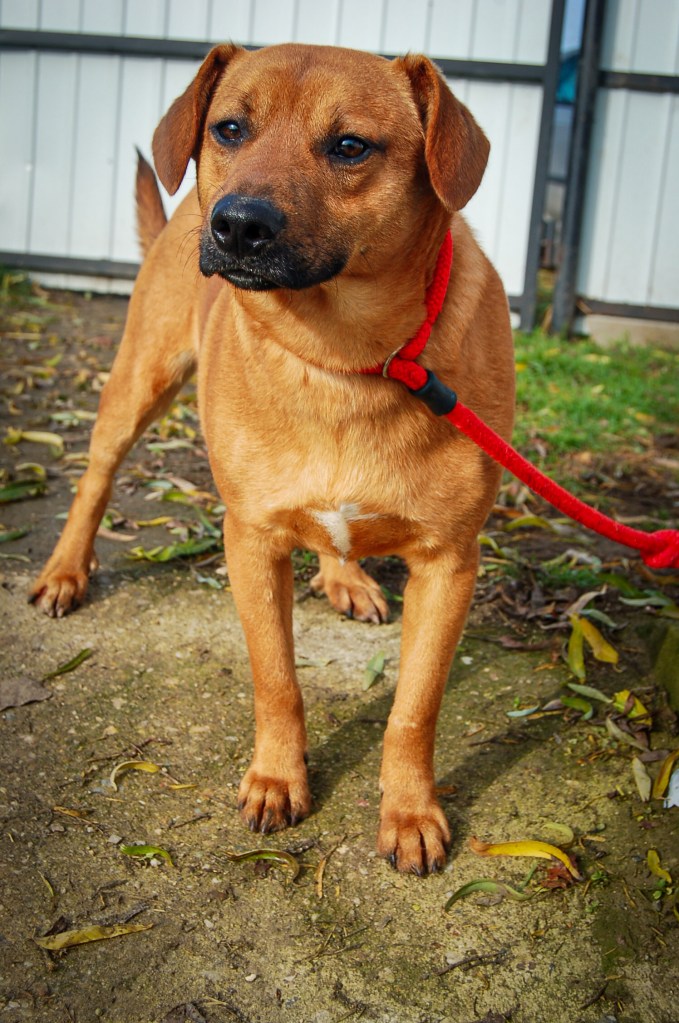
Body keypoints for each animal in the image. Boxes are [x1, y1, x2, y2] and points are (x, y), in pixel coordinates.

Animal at [31, 43, 515, 875]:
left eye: (349, 145)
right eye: (229, 128)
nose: (235, 223)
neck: (345, 358)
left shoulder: (449, 563)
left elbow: (413, 708)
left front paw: (409, 810)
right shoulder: (251, 540)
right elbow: (277, 679)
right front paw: (276, 779)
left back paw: (345, 577)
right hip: (136, 386)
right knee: (94, 480)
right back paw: (66, 571)